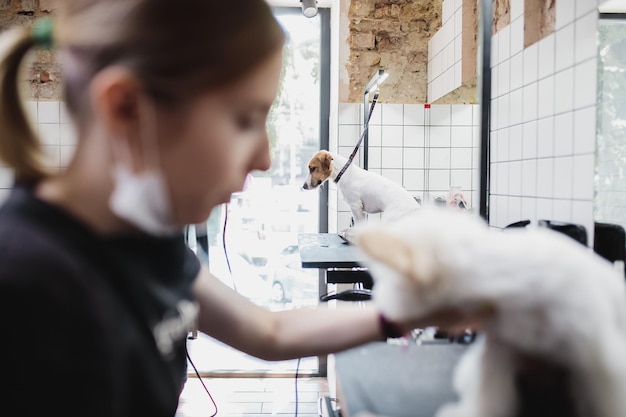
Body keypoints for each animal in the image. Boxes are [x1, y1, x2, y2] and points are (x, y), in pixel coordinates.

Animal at [354, 207, 624, 416]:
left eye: (388, 282)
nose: (382, 309)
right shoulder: (500, 349)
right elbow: (490, 395)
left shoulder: (597, 358)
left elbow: (606, 399)